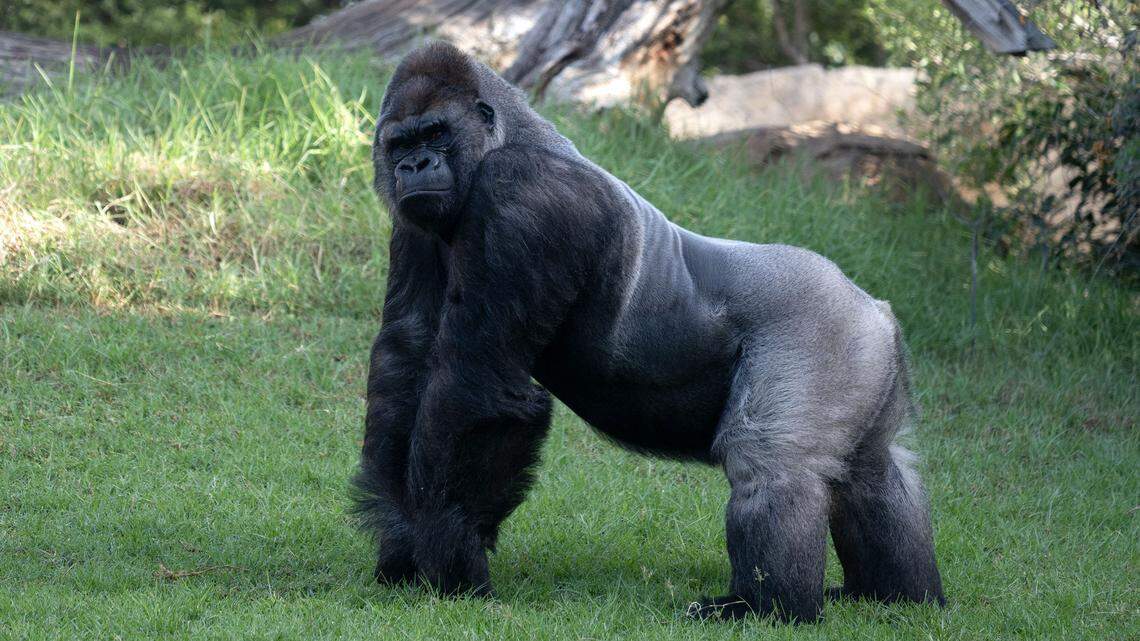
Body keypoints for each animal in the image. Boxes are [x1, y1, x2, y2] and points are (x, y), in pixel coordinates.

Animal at [352, 41, 945, 623]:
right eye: (400, 142)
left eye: (436, 134)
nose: (414, 164)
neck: (509, 137)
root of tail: (875, 309)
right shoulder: (415, 223)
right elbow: (406, 359)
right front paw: (400, 541)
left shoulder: (524, 193)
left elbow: (478, 386)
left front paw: (449, 555)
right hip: (864, 352)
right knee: (875, 471)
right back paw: (894, 596)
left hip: (821, 327)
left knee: (773, 465)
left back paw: (769, 607)